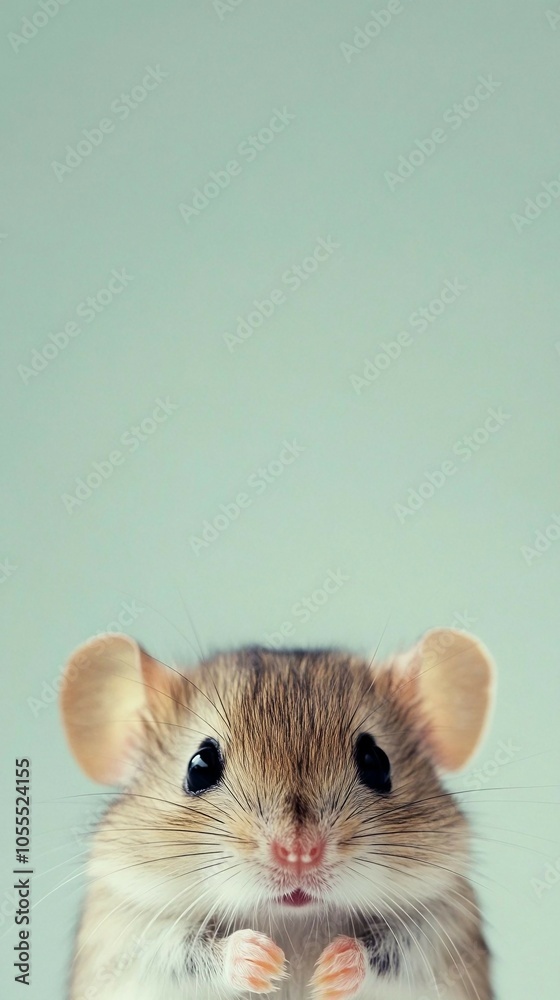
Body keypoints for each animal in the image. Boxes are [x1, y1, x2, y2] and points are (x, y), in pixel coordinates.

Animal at [59, 627, 496, 1000]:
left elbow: (391, 950)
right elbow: (185, 950)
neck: (292, 919)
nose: (299, 855)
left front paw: (327, 971)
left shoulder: (439, 929)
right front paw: (266, 962)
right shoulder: (133, 936)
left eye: (377, 763)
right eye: (199, 767)